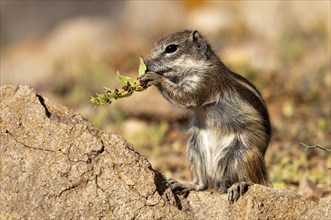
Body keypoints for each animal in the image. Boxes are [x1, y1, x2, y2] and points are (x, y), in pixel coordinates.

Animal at [140, 29, 272, 203]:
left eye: (171, 48)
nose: (147, 63)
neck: (198, 65)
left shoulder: (204, 82)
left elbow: (184, 96)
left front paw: (156, 78)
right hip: (195, 149)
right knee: (203, 184)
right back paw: (185, 184)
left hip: (244, 154)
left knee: (254, 181)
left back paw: (239, 185)